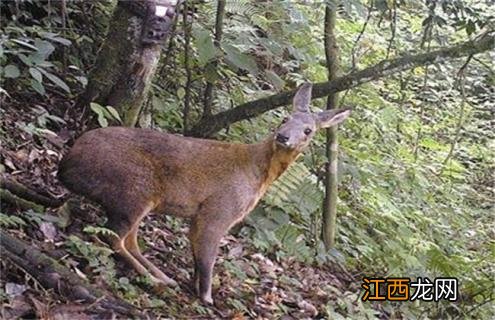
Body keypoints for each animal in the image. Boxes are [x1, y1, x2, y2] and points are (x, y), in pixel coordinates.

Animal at [58, 82, 350, 302]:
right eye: (285, 118)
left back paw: (164, 277)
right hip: (135, 188)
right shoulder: (220, 210)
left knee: (128, 239)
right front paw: (207, 298)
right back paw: (155, 280)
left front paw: (194, 286)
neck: (257, 173)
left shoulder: (201, 215)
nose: (283, 137)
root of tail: (66, 166)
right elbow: (208, 257)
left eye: (308, 130)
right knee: (111, 237)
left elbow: (197, 255)